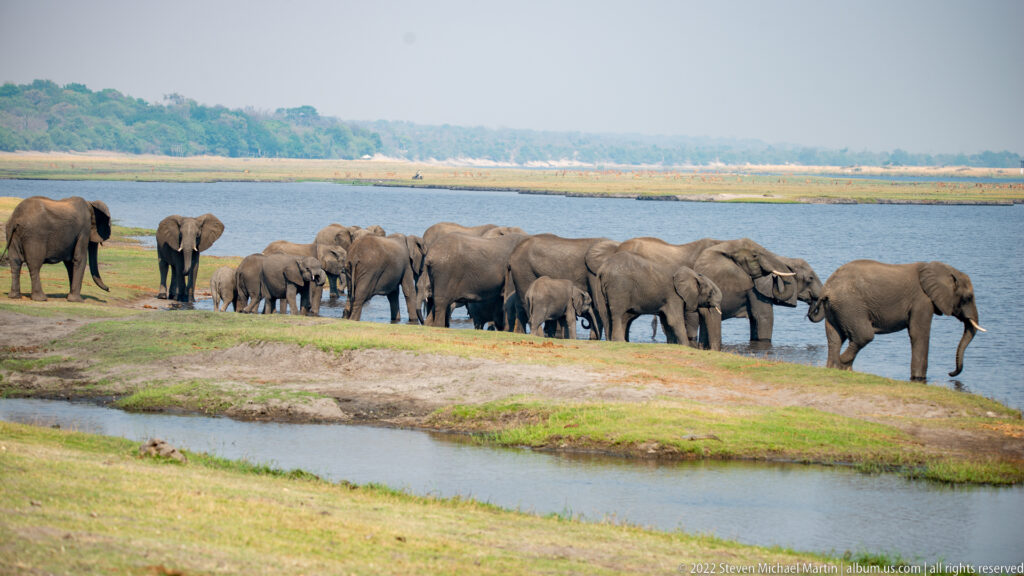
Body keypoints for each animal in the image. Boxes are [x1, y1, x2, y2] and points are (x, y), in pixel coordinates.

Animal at [588, 237, 722, 343]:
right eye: (711, 292)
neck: (692, 273)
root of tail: (603, 269)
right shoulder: (673, 295)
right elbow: (674, 320)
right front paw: (686, 346)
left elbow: (666, 321)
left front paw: (672, 344)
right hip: (619, 287)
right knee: (618, 314)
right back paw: (620, 341)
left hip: (601, 287)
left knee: (605, 313)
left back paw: (610, 341)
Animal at [808, 260, 984, 381]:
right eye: (968, 298)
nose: (950, 373)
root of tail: (828, 288)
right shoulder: (922, 301)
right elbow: (919, 333)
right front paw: (919, 379)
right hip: (850, 305)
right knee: (864, 335)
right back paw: (844, 364)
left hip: (835, 308)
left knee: (835, 338)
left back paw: (835, 368)